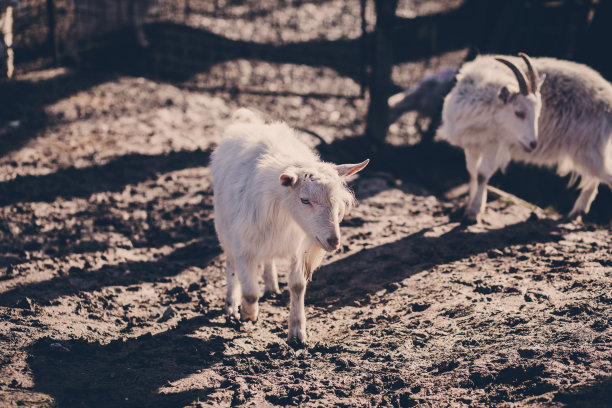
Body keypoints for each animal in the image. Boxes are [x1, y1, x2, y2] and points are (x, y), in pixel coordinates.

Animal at [210, 107, 368, 342]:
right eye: (304, 200)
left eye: (338, 201)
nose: (333, 241)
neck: (284, 212)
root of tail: (249, 121)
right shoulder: (243, 246)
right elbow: (250, 292)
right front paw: (248, 314)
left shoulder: (296, 246)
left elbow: (297, 286)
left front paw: (297, 332)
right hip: (224, 227)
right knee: (230, 264)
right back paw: (231, 304)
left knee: (267, 260)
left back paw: (271, 285)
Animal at [440, 52, 612, 223]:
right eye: (519, 113)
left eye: (538, 113)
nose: (533, 144)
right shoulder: (472, 145)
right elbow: (472, 172)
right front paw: (469, 206)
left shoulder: (494, 144)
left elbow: (482, 174)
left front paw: (473, 212)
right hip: (592, 151)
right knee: (593, 179)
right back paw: (576, 213)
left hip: (588, 149)